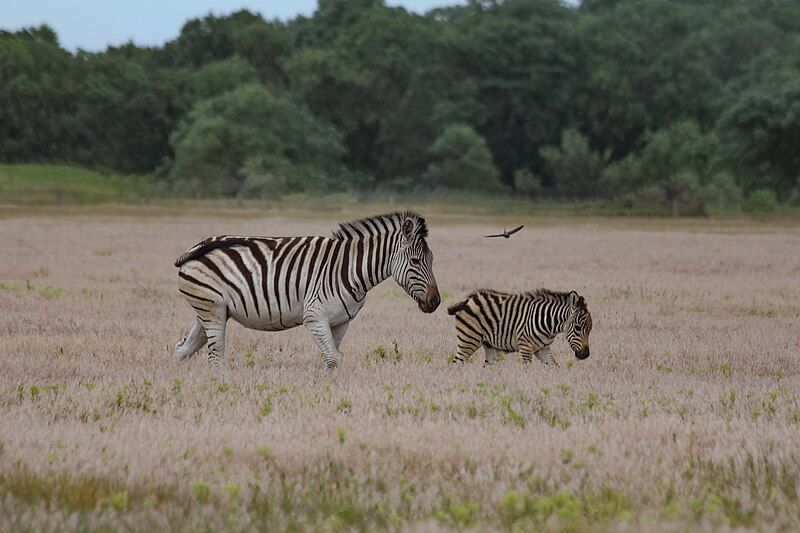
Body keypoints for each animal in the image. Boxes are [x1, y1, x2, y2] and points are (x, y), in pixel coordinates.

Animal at [173, 210, 440, 368]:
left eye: (432, 259)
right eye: (415, 261)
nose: (436, 301)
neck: (350, 268)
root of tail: (197, 247)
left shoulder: (340, 322)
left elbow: (332, 358)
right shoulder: (314, 317)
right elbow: (332, 359)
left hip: (211, 310)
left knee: (183, 349)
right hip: (212, 309)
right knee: (216, 354)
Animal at [446, 288, 592, 364]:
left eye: (590, 330)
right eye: (578, 328)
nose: (585, 355)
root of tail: (468, 299)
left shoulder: (543, 349)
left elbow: (555, 367)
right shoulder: (525, 347)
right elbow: (527, 372)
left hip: (489, 346)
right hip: (469, 339)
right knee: (457, 363)